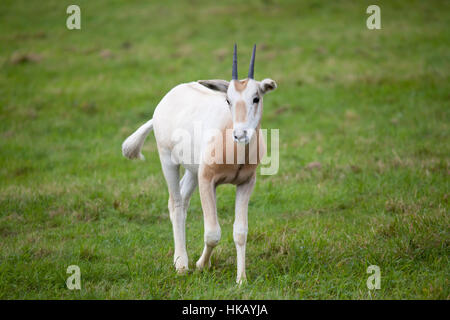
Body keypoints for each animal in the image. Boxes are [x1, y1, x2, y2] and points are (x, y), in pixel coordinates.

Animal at [123, 44, 278, 282]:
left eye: (256, 98)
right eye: (228, 100)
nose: (240, 134)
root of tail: (169, 97)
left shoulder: (245, 183)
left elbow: (240, 232)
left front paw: (241, 279)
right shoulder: (208, 180)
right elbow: (213, 233)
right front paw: (201, 265)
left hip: (192, 172)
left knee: (183, 199)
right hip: (168, 161)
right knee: (176, 203)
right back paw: (181, 264)